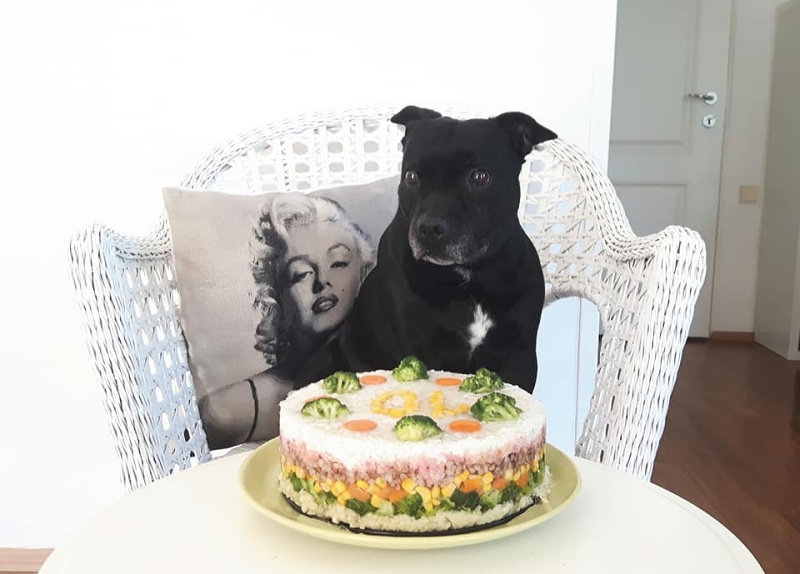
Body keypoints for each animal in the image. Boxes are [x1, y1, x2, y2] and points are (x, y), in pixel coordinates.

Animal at [295, 106, 557, 394]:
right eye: (411, 176)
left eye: (479, 176)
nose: (429, 227)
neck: (469, 275)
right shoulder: (421, 351)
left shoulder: (520, 356)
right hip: (320, 362)